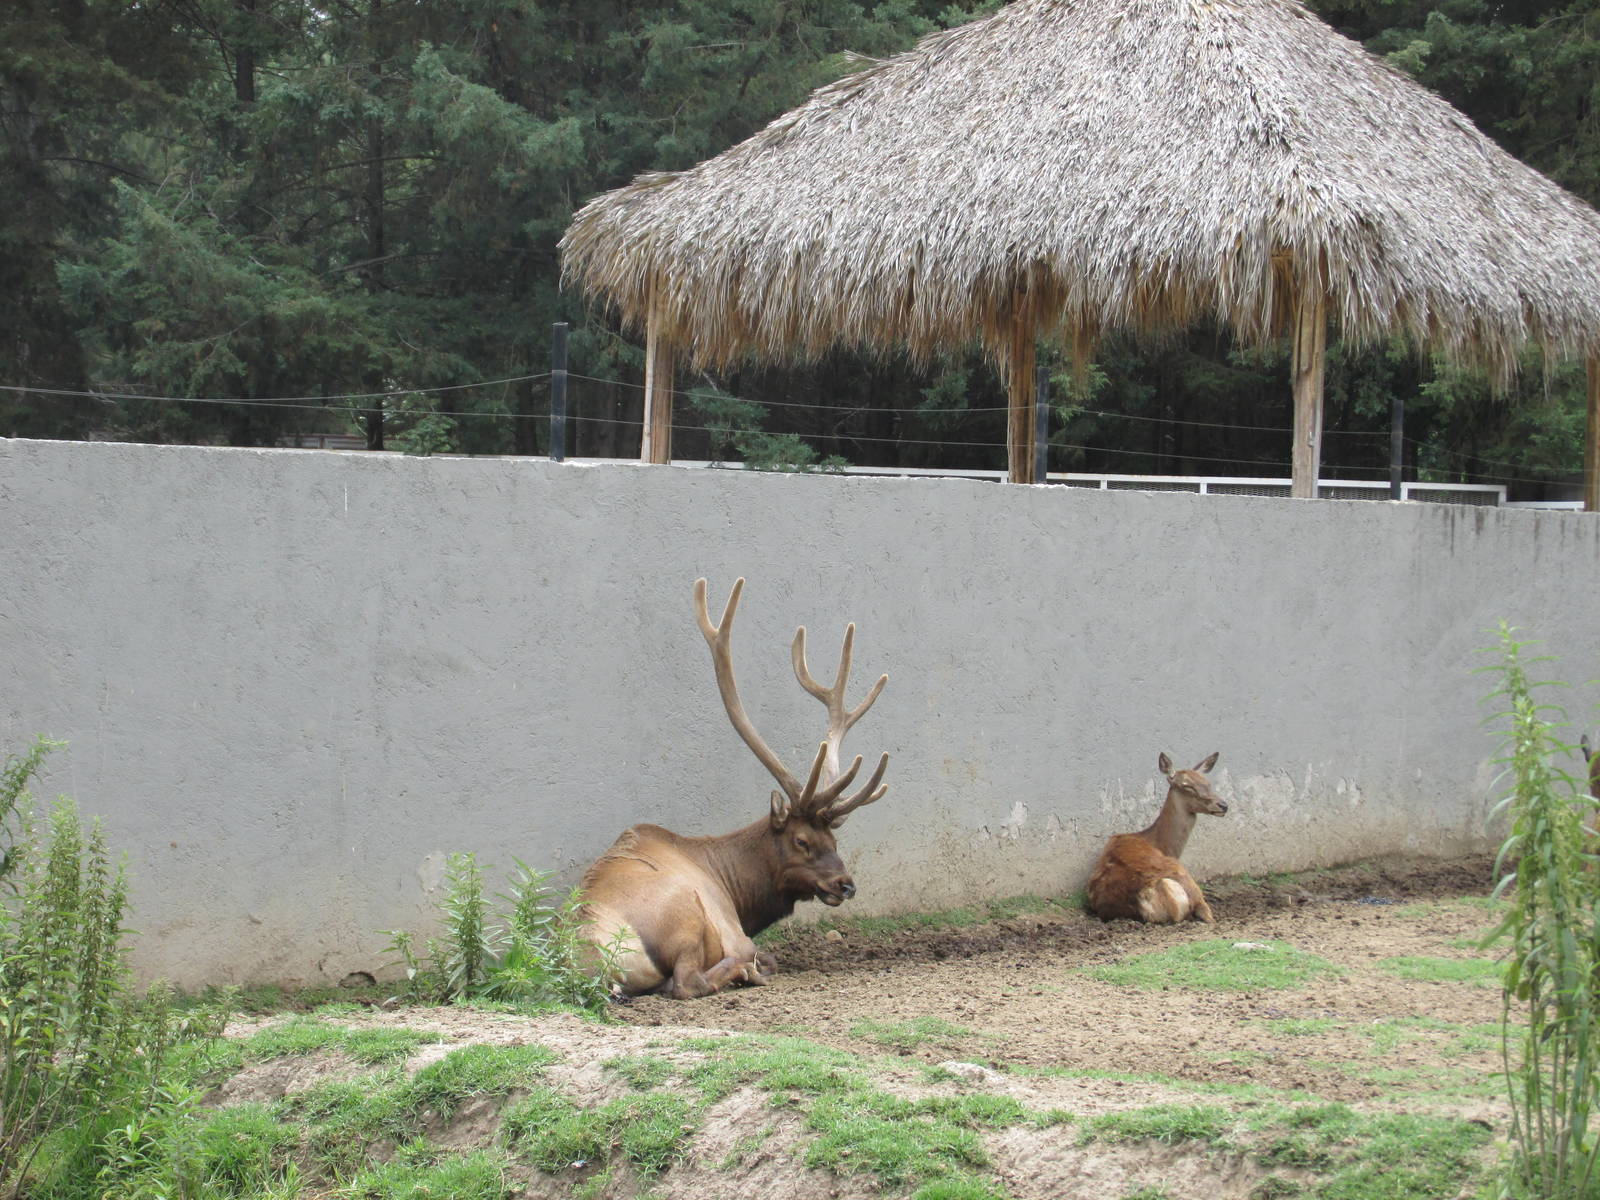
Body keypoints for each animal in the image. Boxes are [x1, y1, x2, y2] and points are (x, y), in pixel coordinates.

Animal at [577, 578, 890, 999]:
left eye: (835, 841)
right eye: (802, 840)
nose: (847, 885)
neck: (738, 891)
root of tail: (591, 960)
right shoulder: (728, 922)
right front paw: (758, 965)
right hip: (687, 913)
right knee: (688, 982)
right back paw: (748, 970)